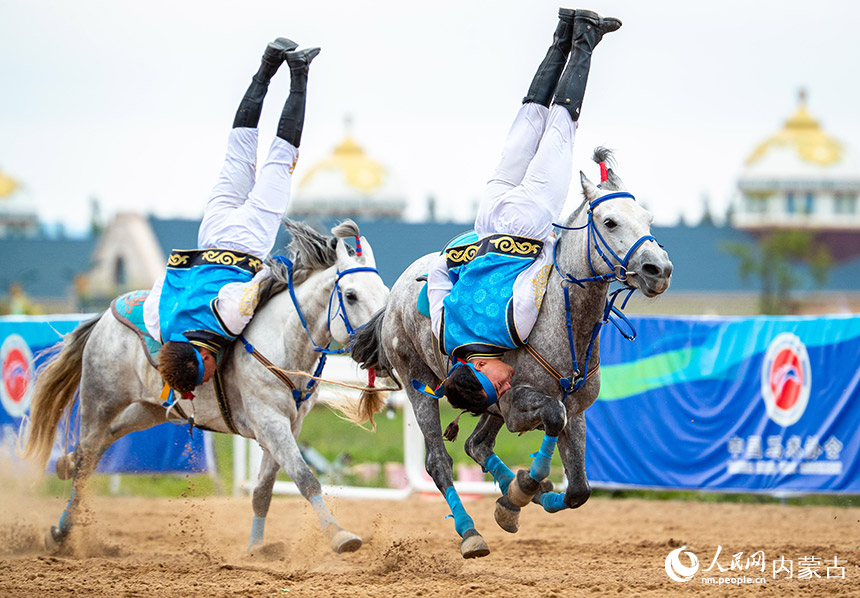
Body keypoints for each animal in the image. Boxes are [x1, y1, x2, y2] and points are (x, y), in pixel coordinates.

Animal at [24, 219, 390, 555]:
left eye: (386, 292)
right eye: (350, 295)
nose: (378, 347)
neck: (281, 341)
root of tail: (107, 315)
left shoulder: (289, 426)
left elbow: (263, 492)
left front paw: (254, 551)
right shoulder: (271, 423)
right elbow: (304, 477)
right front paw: (340, 536)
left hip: (149, 410)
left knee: (102, 443)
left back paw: (63, 470)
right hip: (100, 399)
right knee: (87, 458)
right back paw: (63, 530)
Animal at [351, 149, 673, 558]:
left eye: (647, 218)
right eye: (610, 221)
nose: (658, 269)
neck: (562, 320)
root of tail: (395, 294)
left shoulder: (575, 411)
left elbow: (579, 489)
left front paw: (522, 496)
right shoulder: (518, 406)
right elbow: (552, 417)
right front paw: (524, 488)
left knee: (476, 444)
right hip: (418, 384)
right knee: (439, 462)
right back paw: (471, 531)